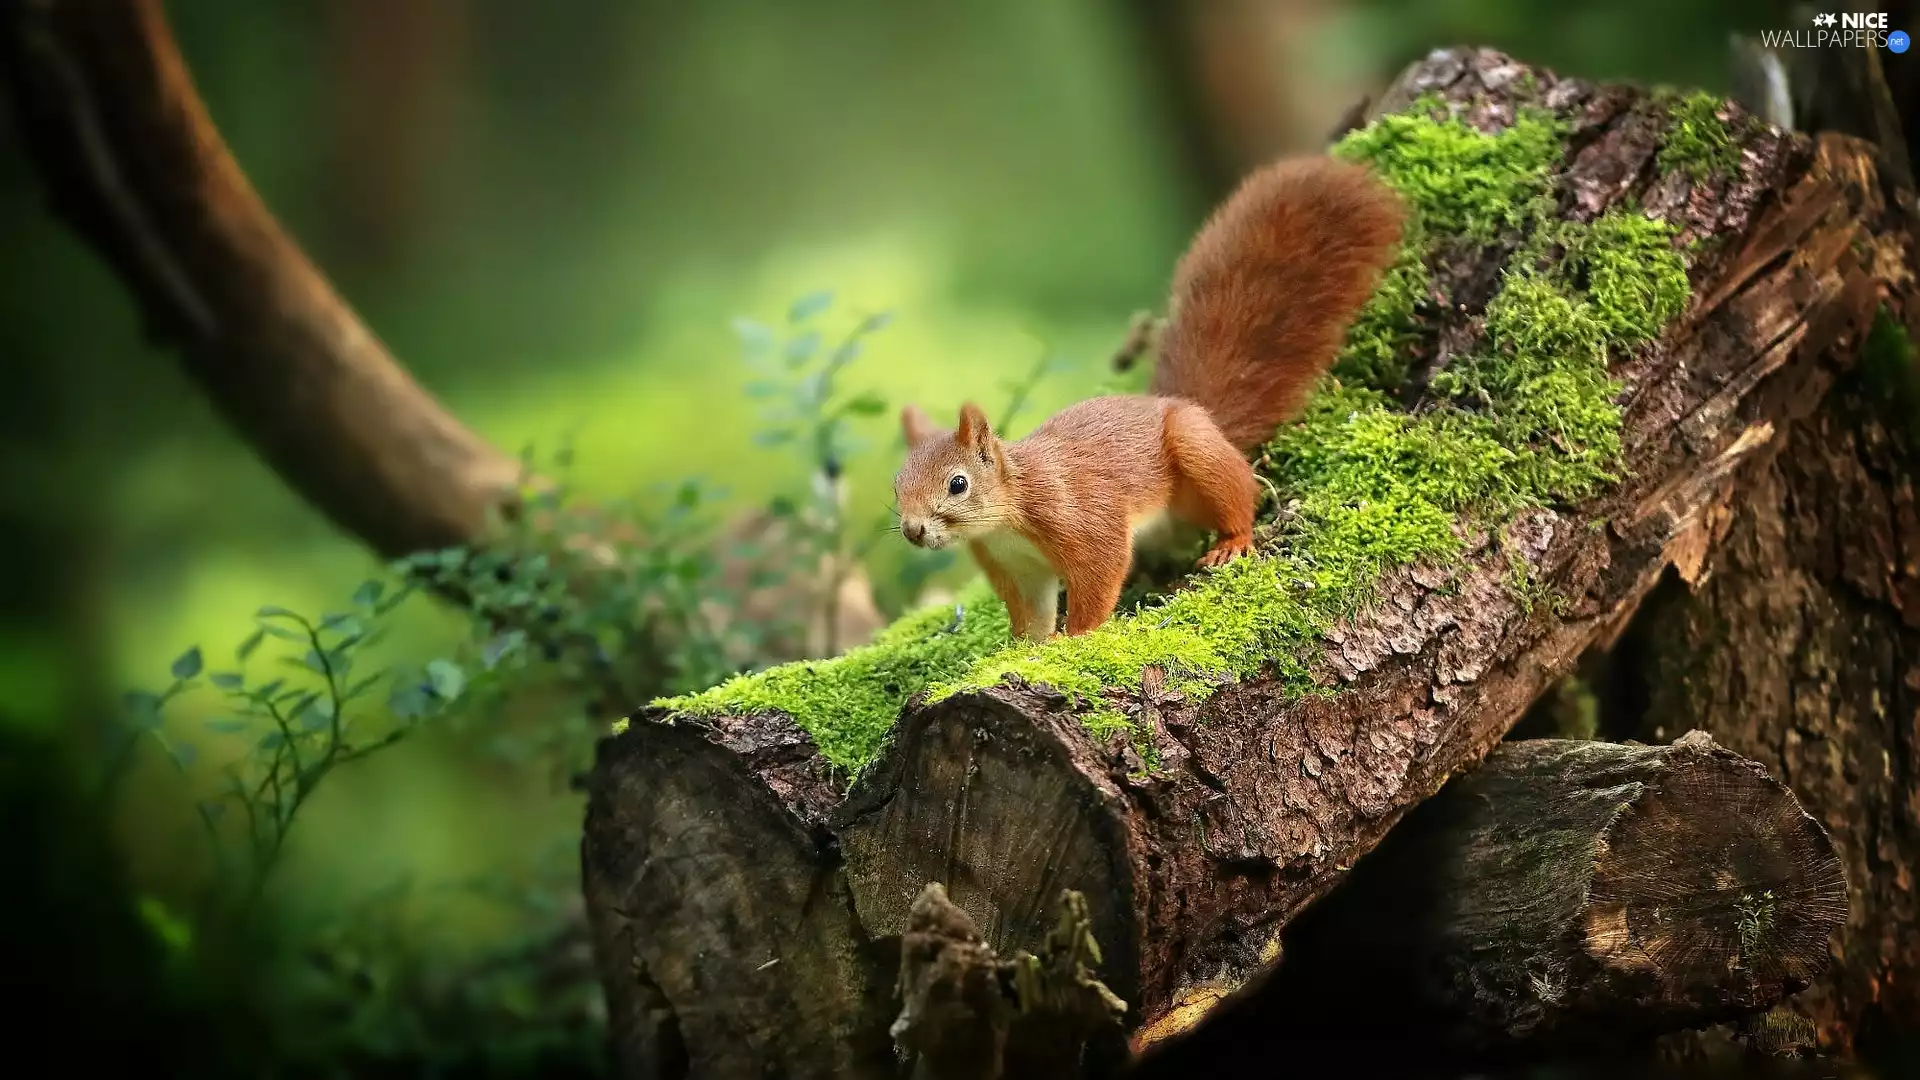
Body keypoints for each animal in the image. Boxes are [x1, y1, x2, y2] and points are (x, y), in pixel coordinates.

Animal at [893, 154, 1407, 641]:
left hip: (1196, 451)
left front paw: (1076, 637)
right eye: (896, 486)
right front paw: (1028, 648)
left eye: (958, 484)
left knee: (1243, 492)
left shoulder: (1080, 519)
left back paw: (1233, 541)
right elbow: (1031, 615)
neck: (1005, 517)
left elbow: (1099, 575)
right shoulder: (1016, 567)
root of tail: (1192, 410)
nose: (912, 530)